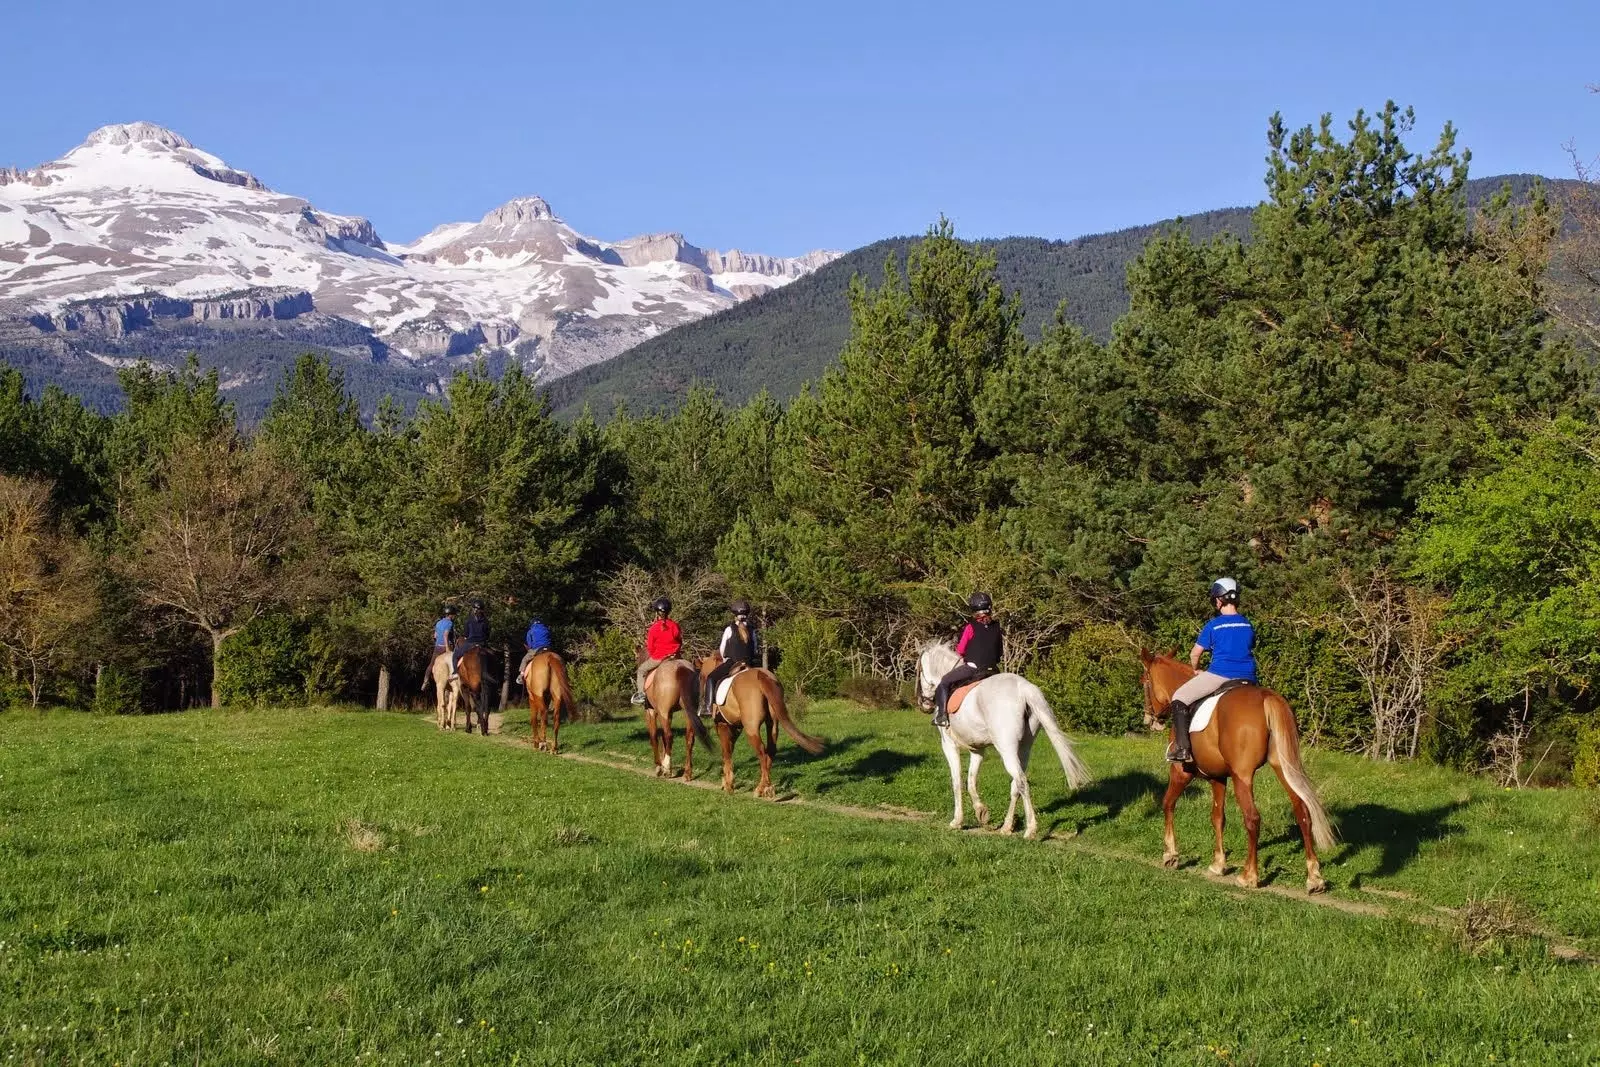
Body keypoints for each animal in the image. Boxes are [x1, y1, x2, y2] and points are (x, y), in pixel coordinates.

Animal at [697, 655, 825, 796]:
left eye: (701, 677)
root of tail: (761, 675)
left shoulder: (722, 725)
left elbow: (726, 752)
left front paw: (728, 785)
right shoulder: (736, 727)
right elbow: (730, 749)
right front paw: (727, 782)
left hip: (751, 728)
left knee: (762, 753)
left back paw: (763, 788)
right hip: (772, 724)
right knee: (771, 750)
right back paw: (765, 786)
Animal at [921, 643, 1094, 844]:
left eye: (919, 670)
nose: (925, 704)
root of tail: (1024, 688)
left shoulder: (949, 745)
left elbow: (957, 781)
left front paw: (957, 821)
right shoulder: (978, 750)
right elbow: (971, 780)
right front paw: (982, 813)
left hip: (1006, 748)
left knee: (1021, 781)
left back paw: (1030, 830)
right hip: (1024, 749)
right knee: (1015, 785)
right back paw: (1006, 827)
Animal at [1139, 652, 1337, 895]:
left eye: (1144, 681)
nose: (1149, 719)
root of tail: (1266, 697)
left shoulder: (1180, 772)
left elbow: (1168, 803)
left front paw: (1170, 854)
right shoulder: (1218, 777)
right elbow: (1217, 817)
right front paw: (1218, 864)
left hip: (1242, 776)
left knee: (1252, 818)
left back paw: (1249, 876)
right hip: (1284, 768)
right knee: (1303, 813)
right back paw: (1314, 878)